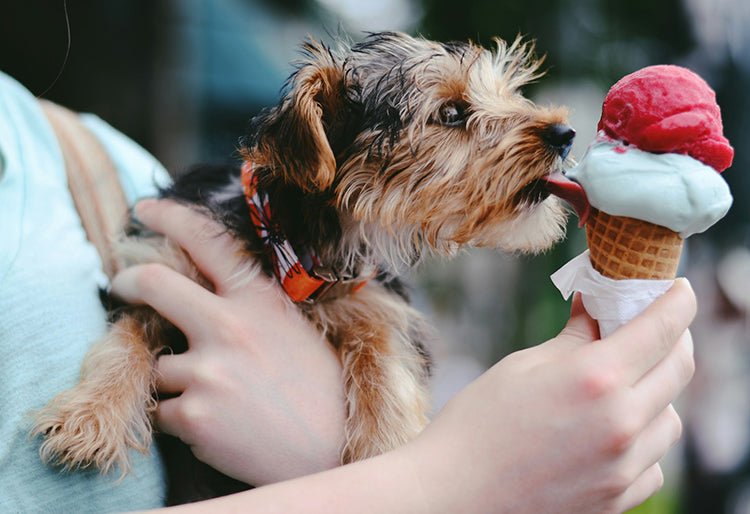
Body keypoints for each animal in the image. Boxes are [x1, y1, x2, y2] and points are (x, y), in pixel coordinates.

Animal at [29, 33, 572, 484]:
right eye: (453, 113)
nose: (564, 134)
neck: (292, 244)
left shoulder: (374, 300)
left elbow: (384, 356)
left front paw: (386, 446)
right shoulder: (158, 264)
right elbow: (127, 335)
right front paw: (90, 415)